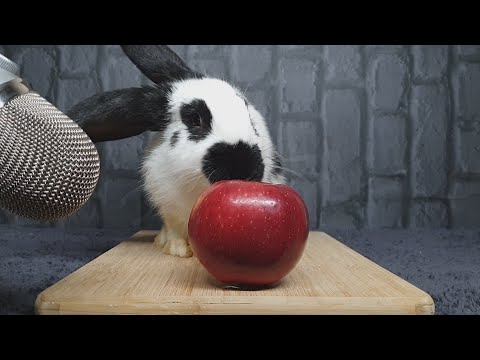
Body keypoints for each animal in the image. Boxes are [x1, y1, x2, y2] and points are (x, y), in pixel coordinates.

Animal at [67, 45, 284, 258]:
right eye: (195, 119)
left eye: (249, 115)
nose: (242, 167)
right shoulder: (169, 206)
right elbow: (175, 230)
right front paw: (178, 250)